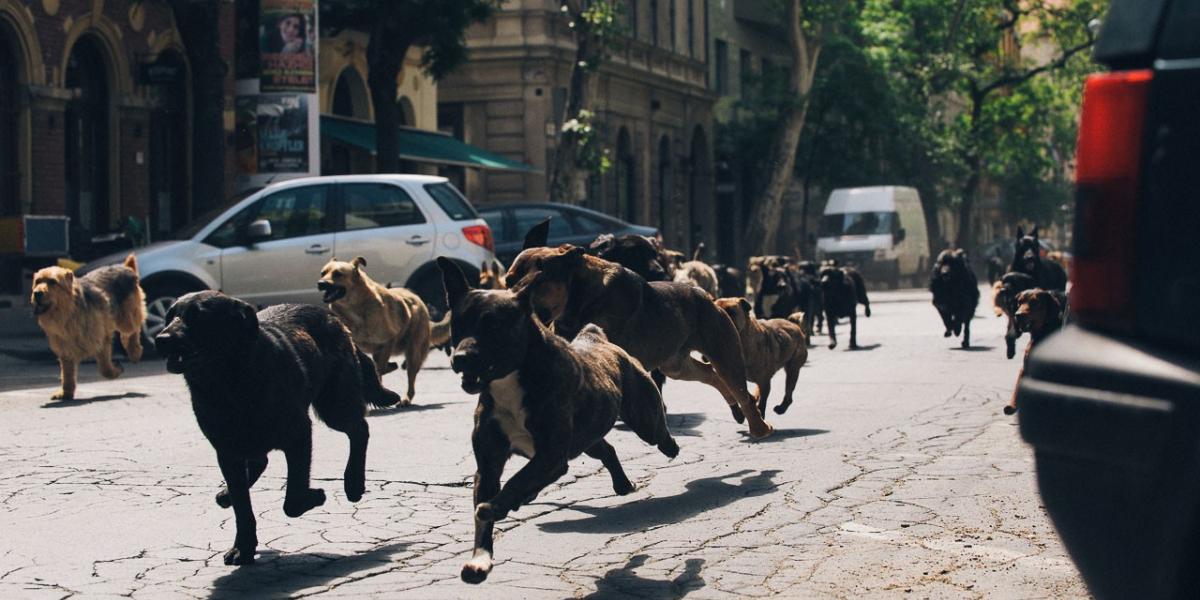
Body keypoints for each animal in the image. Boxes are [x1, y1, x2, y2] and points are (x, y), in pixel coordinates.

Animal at [30, 252, 144, 398]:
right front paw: (66, 393)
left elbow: (105, 368)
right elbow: (67, 374)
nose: (37, 293)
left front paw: (115, 371)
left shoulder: (102, 338)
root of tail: (126, 268)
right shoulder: (65, 350)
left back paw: (134, 351)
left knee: (134, 328)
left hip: (126, 318)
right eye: (37, 282)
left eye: (53, 282)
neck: (68, 312)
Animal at [152, 292, 398, 564]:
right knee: (260, 461)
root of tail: (333, 317)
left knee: (360, 429)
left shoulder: (299, 434)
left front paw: (315, 496)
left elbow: (292, 499)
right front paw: (243, 547)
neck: (230, 383)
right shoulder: (227, 452)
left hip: (335, 406)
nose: (161, 339)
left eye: (198, 316)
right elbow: (243, 509)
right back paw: (226, 494)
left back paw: (353, 482)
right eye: (170, 316)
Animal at [319, 255, 451, 405]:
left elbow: (379, 369)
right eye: (323, 273)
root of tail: (417, 299)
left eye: (338, 274)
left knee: (409, 378)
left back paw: (406, 398)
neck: (355, 309)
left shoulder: (388, 341)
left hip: (413, 353)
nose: (320, 283)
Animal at [441, 259, 681, 585]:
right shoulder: (490, 464)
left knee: (657, 433)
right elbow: (489, 509)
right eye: (458, 324)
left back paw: (670, 447)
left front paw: (496, 506)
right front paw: (480, 560)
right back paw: (619, 483)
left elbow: (515, 482)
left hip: (642, 418)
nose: (461, 357)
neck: (513, 378)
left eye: (493, 325)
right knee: (606, 450)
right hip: (587, 437)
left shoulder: (551, 456)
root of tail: (595, 337)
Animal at [508, 232, 772, 436]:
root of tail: (707, 297)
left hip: (724, 355)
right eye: (509, 281)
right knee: (711, 374)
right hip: (676, 366)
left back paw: (758, 426)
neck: (578, 296)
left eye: (537, 281)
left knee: (741, 391)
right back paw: (737, 410)